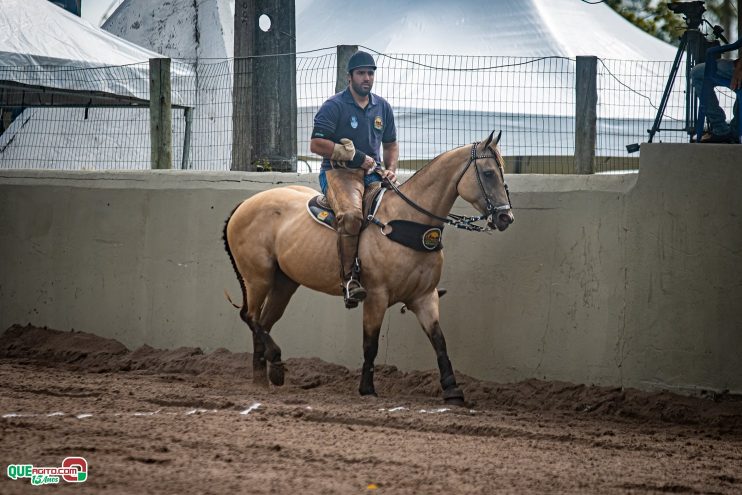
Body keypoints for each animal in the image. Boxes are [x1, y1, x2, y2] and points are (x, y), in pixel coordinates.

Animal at [221, 131, 516, 406]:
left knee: (263, 322)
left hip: (284, 283)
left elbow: (439, 341)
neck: (407, 221)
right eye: (489, 173)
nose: (505, 217)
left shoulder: (425, 297)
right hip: (257, 278)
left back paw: (265, 376)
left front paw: (453, 390)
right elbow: (370, 343)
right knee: (250, 317)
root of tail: (243, 205)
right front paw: (367, 388)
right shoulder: (376, 296)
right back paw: (274, 362)